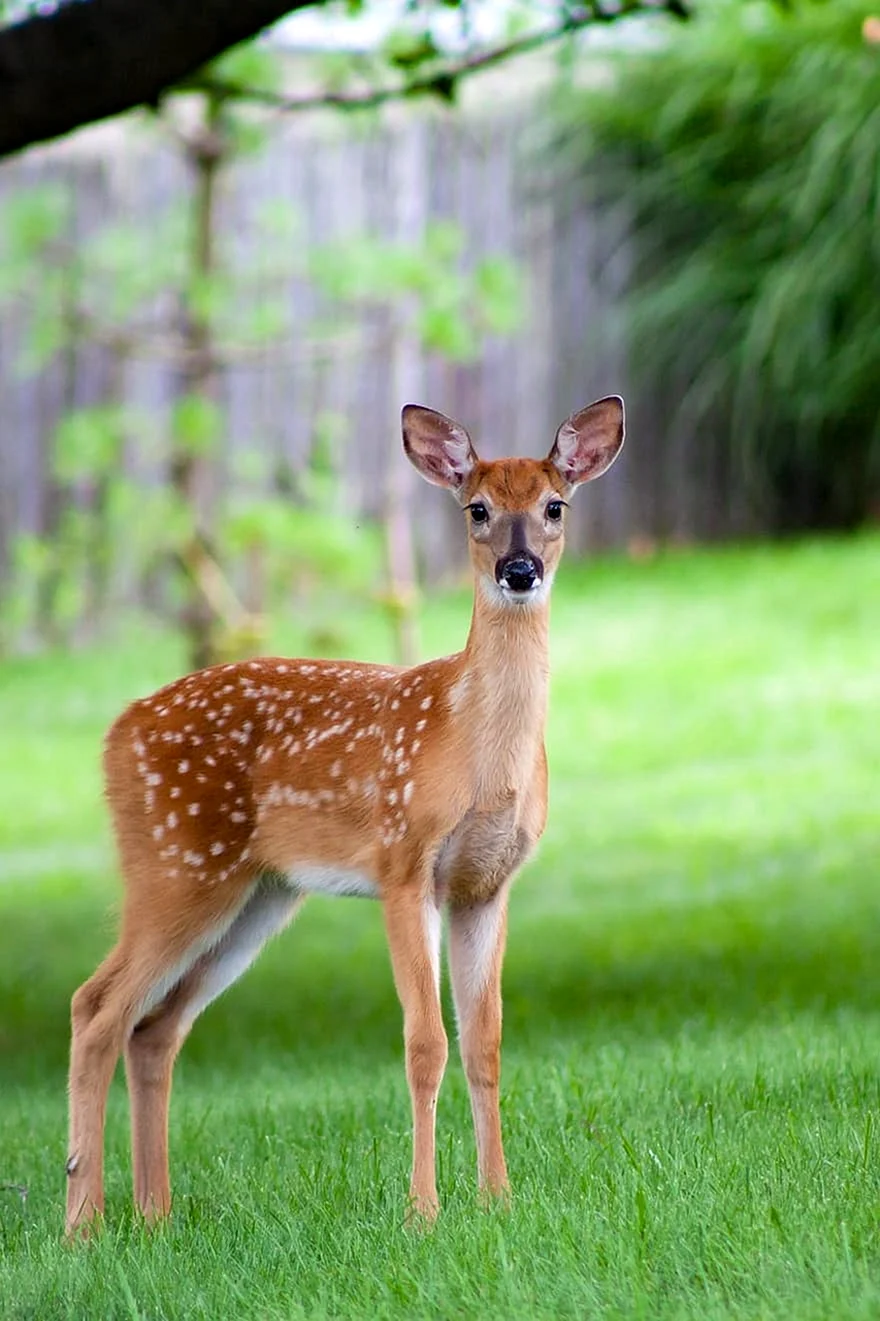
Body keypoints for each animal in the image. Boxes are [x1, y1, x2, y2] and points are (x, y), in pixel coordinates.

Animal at [65, 394, 625, 1238]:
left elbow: (485, 1042)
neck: (475, 747)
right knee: (95, 1006)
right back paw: (84, 1224)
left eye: (554, 506)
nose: (519, 569)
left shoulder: (486, 885)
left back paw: (154, 1215)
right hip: (174, 863)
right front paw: (423, 1210)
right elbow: (424, 1042)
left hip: (257, 896)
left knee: (155, 1027)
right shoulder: (403, 863)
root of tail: (114, 733)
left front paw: (497, 1199)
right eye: (478, 509)